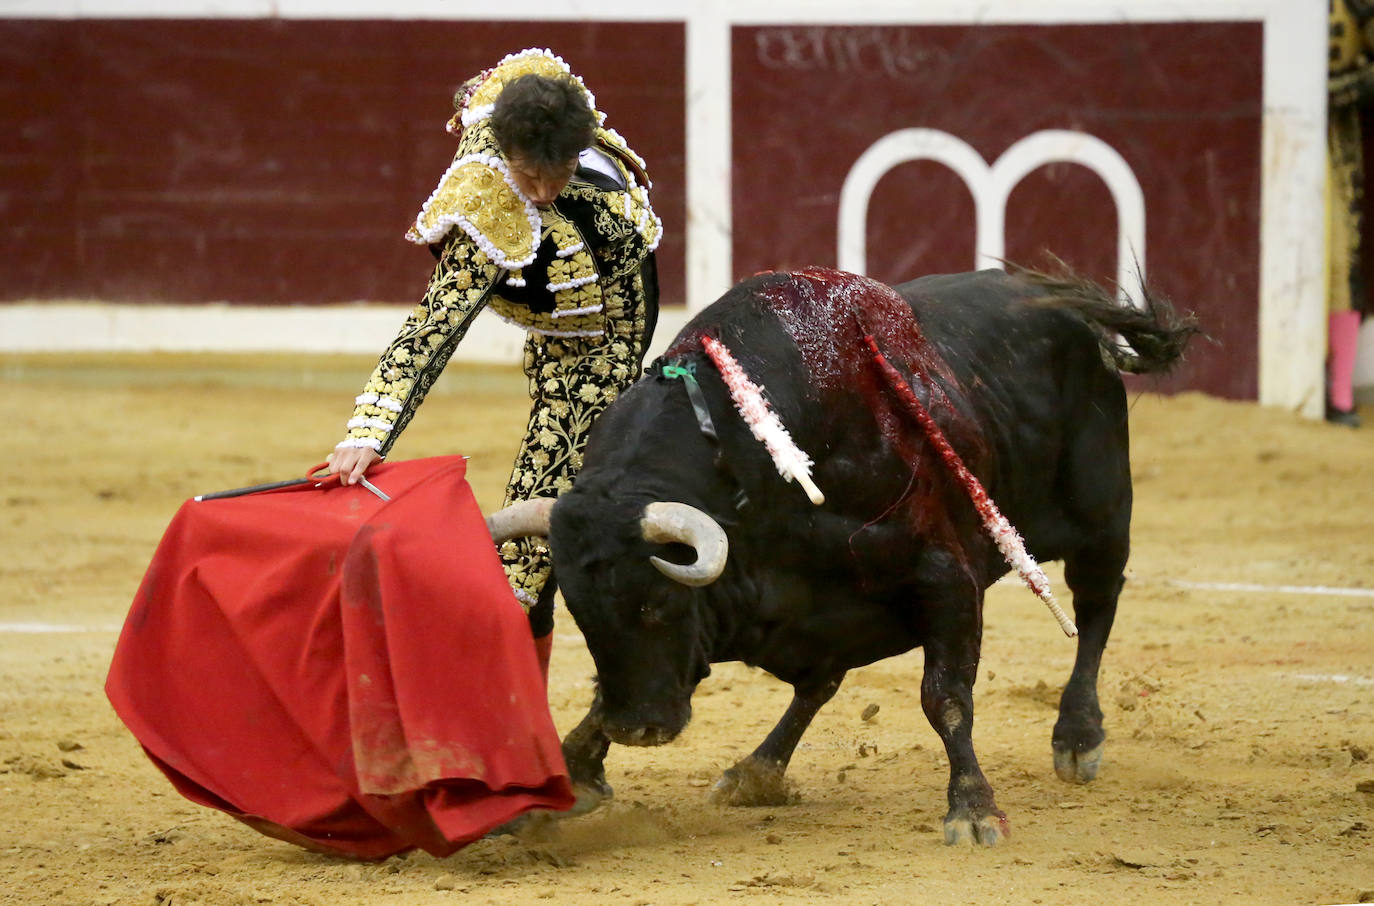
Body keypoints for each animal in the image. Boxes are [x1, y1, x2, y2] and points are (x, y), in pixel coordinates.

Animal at [489, 265, 1198, 846]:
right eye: (582, 617)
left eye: (659, 605)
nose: (639, 727)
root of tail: (1063, 307)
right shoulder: (769, 606)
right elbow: (800, 680)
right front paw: (570, 773)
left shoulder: (943, 577)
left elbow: (945, 698)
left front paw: (973, 811)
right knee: (818, 684)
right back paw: (757, 771)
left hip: (1103, 516)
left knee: (1096, 608)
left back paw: (1078, 737)